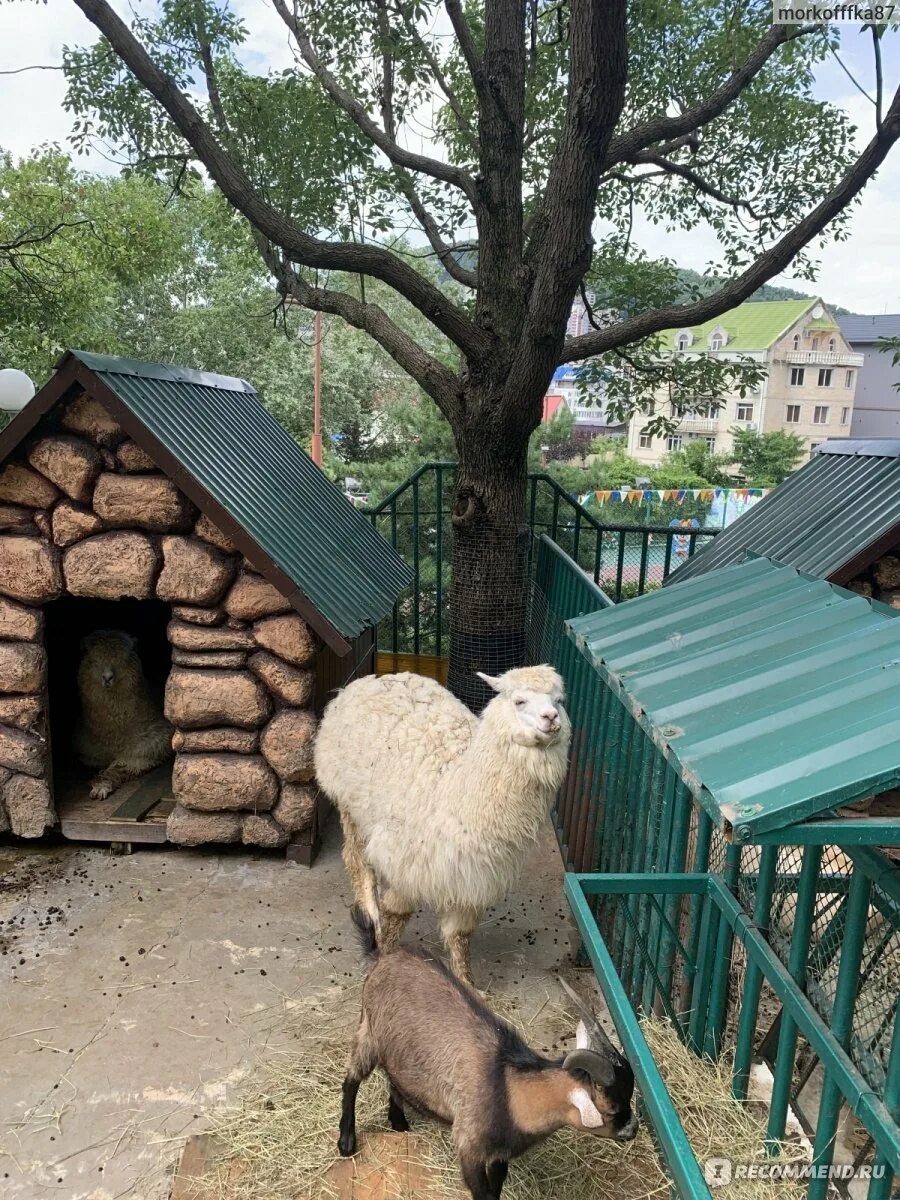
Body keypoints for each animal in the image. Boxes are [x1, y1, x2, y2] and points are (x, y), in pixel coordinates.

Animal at [338, 907, 643, 1200]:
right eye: (612, 1108)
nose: (633, 1130)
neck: (509, 1087)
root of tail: (379, 957)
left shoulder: (499, 1154)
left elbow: (496, 1187)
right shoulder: (469, 1146)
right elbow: (482, 1192)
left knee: (394, 1078)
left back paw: (399, 1123)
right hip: (369, 1031)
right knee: (351, 1080)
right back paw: (346, 1142)